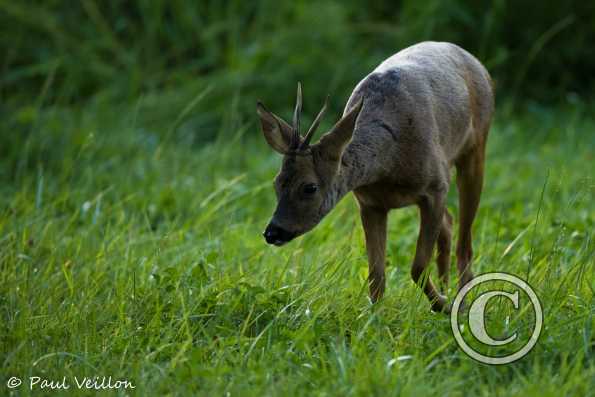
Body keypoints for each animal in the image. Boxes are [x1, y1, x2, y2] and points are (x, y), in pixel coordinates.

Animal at [256, 41, 494, 312]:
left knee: (465, 243)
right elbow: (376, 274)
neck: (389, 165)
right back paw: (447, 289)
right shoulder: (370, 203)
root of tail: (474, 60)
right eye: (276, 183)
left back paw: (463, 300)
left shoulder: (435, 187)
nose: (272, 232)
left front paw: (443, 305)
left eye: (309, 187)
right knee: (449, 223)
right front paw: (374, 316)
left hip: (475, 147)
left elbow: (417, 267)